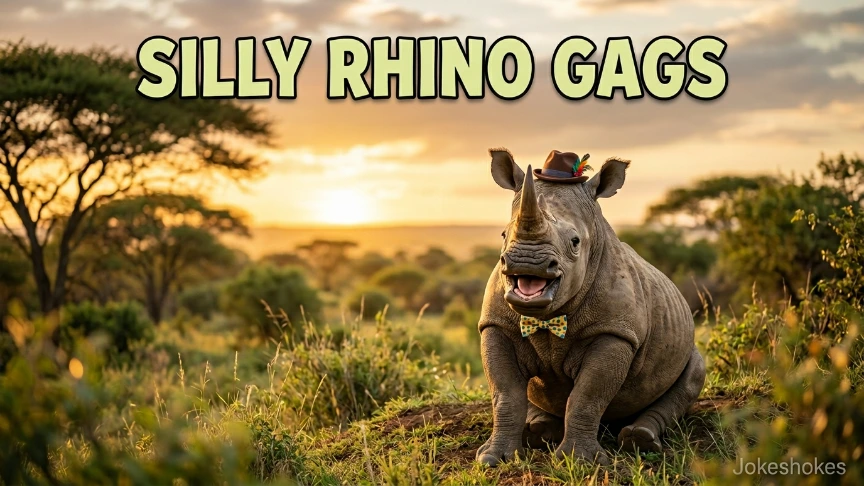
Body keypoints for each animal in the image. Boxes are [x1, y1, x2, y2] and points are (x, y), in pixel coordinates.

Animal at [476, 148, 705, 466]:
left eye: (575, 242)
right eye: (502, 235)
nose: (527, 263)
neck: (546, 316)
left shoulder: (615, 332)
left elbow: (588, 395)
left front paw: (578, 460)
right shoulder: (496, 324)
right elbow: (505, 393)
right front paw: (493, 458)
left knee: (694, 374)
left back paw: (640, 440)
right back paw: (537, 433)